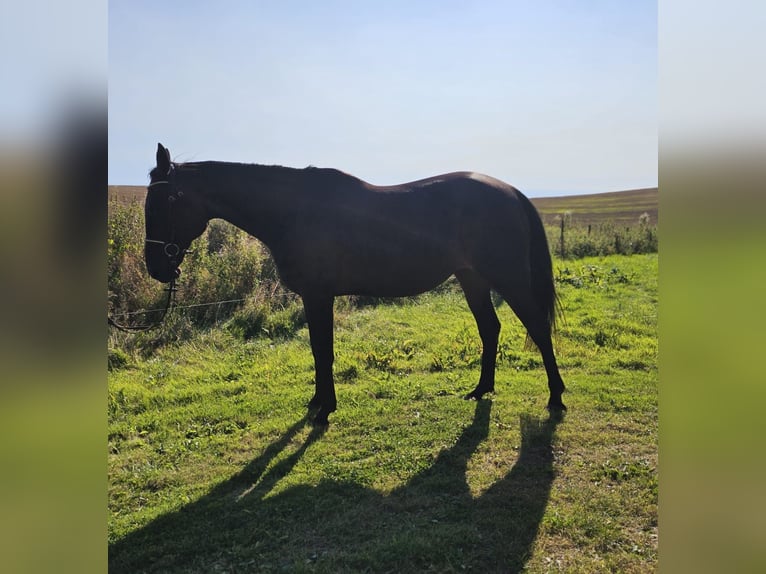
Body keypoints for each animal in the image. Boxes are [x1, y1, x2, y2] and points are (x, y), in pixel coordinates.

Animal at [146, 143, 564, 428]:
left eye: (166, 200)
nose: (156, 267)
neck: (294, 210)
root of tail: (510, 191)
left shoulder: (319, 296)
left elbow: (323, 351)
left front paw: (325, 409)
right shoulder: (313, 298)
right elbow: (317, 350)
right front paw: (318, 401)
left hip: (508, 277)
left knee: (538, 329)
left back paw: (556, 397)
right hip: (471, 277)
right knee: (490, 329)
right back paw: (481, 389)